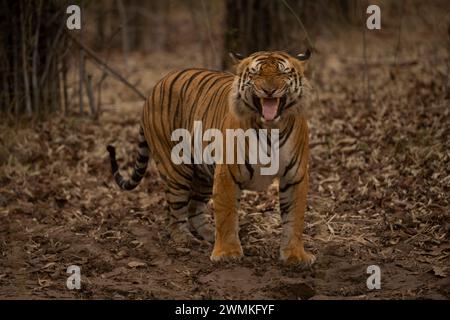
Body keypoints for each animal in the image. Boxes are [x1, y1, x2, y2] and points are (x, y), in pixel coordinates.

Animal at [107, 50, 314, 264]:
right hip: (176, 168)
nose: (269, 90)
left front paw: (295, 255)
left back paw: (207, 233)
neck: (271, 129)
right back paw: (185, 239)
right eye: (256, 73)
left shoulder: (295, 176)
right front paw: (228, 253)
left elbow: (294, 218)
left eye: (283, 73)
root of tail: (155, 87)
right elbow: (226, 213)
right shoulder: (227, 173)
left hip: (204, 173)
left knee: (194, 209)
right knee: (174, 212)